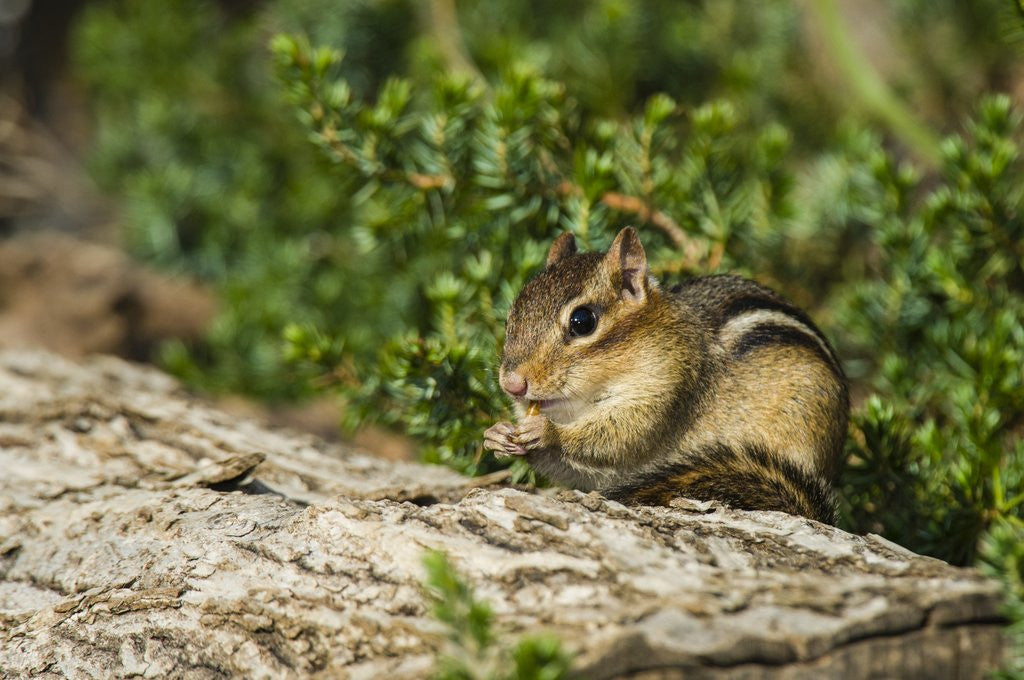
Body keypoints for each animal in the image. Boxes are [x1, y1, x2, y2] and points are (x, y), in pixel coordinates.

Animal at [483, 227, 849, 523]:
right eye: (510, 319)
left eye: (582, 321)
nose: (512, 384)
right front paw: (497, 434)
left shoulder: (668, 386)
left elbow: (621, 437)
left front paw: (548, 432)